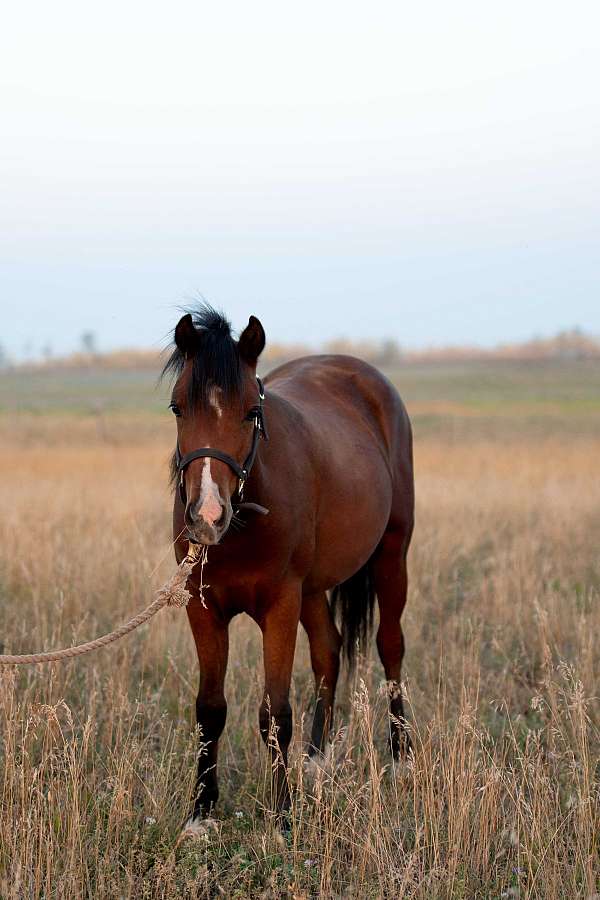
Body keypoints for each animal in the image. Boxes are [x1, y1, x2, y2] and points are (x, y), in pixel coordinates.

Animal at [163, 306, 414, 827]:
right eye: (177, 408)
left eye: (252, 412)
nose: (208, 516)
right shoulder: (203, 608)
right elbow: (209, 708)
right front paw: (202, 811)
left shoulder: (280, 604)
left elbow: (275, 713)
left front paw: (282, 815)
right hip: (314, 588)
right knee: (328, 651)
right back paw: (317, 758)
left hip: (391, 553)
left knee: (390, 646)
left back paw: (401, 756)